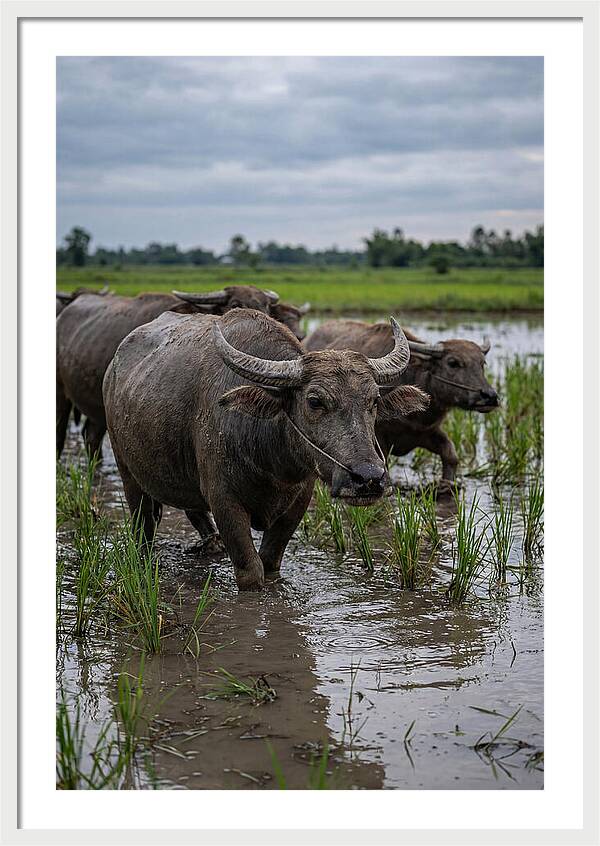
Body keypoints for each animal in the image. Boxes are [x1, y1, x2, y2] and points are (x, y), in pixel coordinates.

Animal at [103, 309, 429, 590]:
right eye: (314, 401)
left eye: (373, 400)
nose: (368, 478)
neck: (272, 462)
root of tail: (113, 369)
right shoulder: (224, 501)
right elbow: (251, 572)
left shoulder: (298, 502)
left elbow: (270, 563)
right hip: (127, 471)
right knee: (143, 526)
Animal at [305, 320, 498, 483]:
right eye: (453, 362)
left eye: (482, 363)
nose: (490, 396)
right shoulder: (378, 439)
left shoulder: (427, 432)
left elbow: (451, 455)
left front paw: (447, 484)